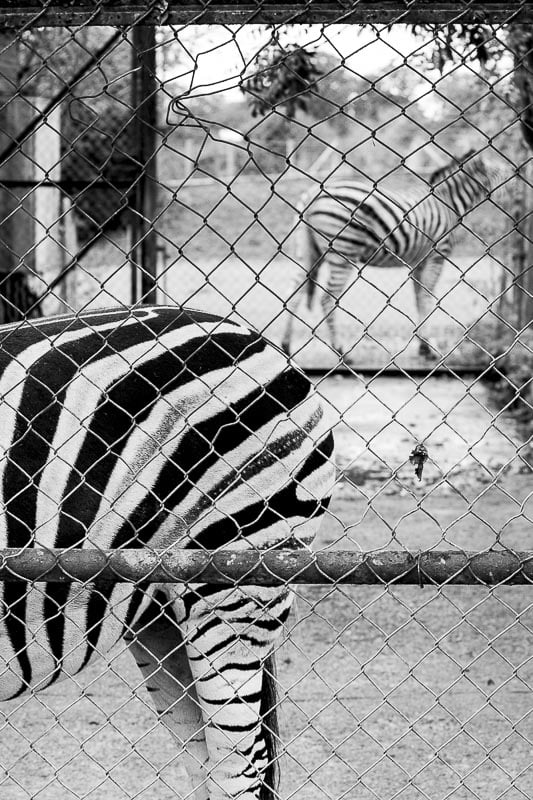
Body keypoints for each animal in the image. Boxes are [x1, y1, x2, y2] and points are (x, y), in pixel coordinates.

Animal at [281, 149, 503, 360]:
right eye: (501, 172)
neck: (447, 201)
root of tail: (312, 193)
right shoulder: (438, 254)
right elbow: (427, 296)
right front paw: (429, 348)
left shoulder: (419, 262)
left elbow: (419, 298)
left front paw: (423, 345)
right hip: (343, 250)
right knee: (328, 299)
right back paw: (341, 351)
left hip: (308, 252)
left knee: (294, 295)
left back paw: (286, 347)